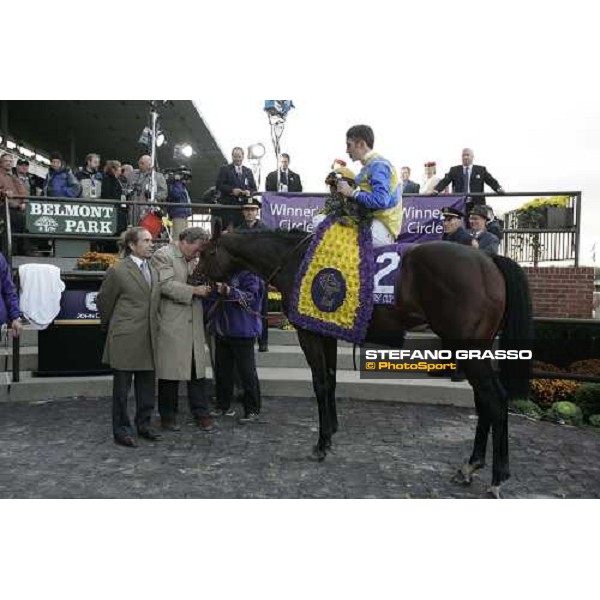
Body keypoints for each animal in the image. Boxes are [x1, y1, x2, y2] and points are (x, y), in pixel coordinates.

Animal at [199, 221, 532, 496]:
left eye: (206, 252)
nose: (196, 277)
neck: (297, 261)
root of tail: (487, 259)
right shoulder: (326, 333)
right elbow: (331, 380)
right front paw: (331, 429)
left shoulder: (309, 333)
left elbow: (320, 383)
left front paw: (321, 444)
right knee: (484, 399)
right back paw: (471, 465)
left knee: (495, 398)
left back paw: (497, 476)